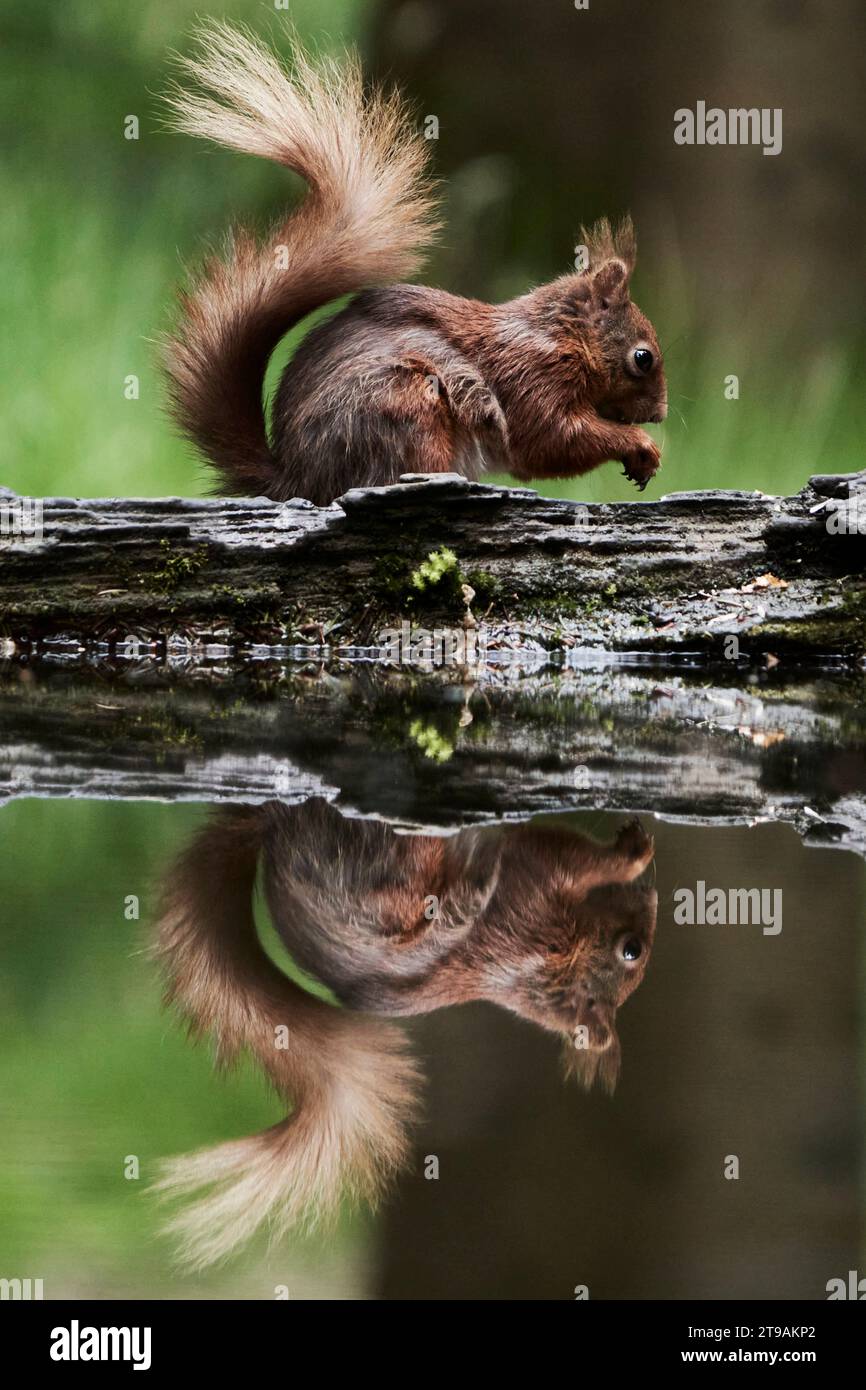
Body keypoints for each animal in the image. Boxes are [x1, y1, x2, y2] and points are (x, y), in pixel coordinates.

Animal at [152, 800, 656, 1267]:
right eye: (631, 950)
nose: (653, 898)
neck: (551, 972)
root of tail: (273, 837)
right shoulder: (534, 897)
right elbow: (567, 852)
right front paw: (636, 851)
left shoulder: (530, 902)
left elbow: (564, 853)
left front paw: (633, 850)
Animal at [162, 23, 668, 506]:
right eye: (642, 358)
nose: (660, 414)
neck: (559, 336)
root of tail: (296, 480)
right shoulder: (534, 380)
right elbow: (555, 440)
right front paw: (640, 445)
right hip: (409, 409)